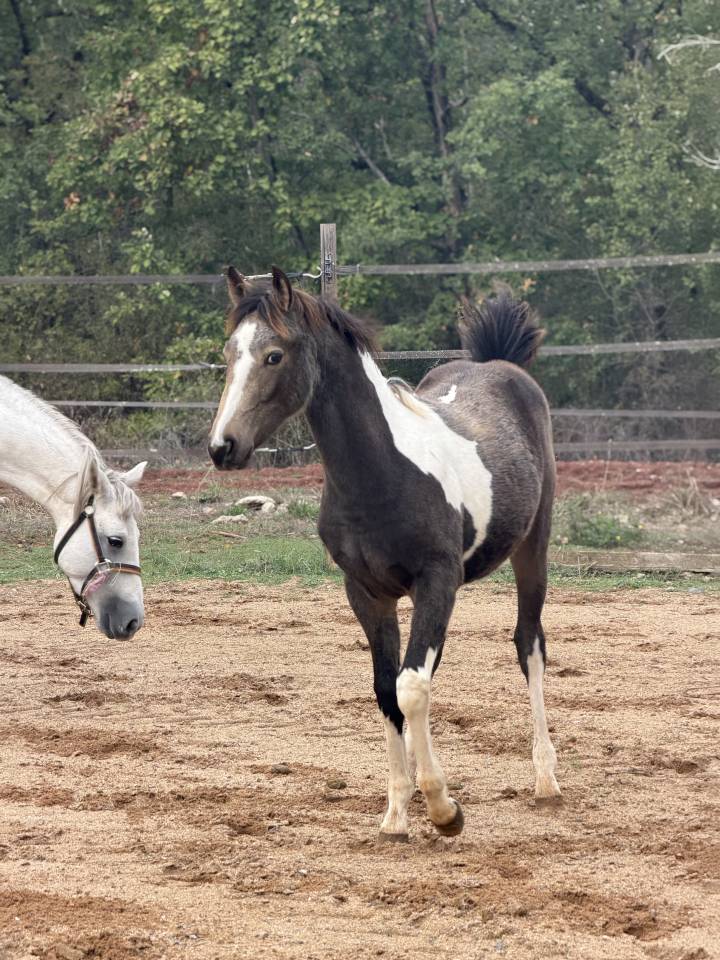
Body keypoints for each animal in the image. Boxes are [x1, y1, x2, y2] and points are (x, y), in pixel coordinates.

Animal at [208, 267, 561, 841]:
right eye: (228, 352)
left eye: (274, 355)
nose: (222, 447)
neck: (380, 474)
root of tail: (500, 368)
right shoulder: (367, 593)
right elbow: (386, 690)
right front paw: (396, 813)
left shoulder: (437, 581)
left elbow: (412, 686)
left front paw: (444, 809)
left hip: (533, 548)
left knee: (529, 645)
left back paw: (546, 778)